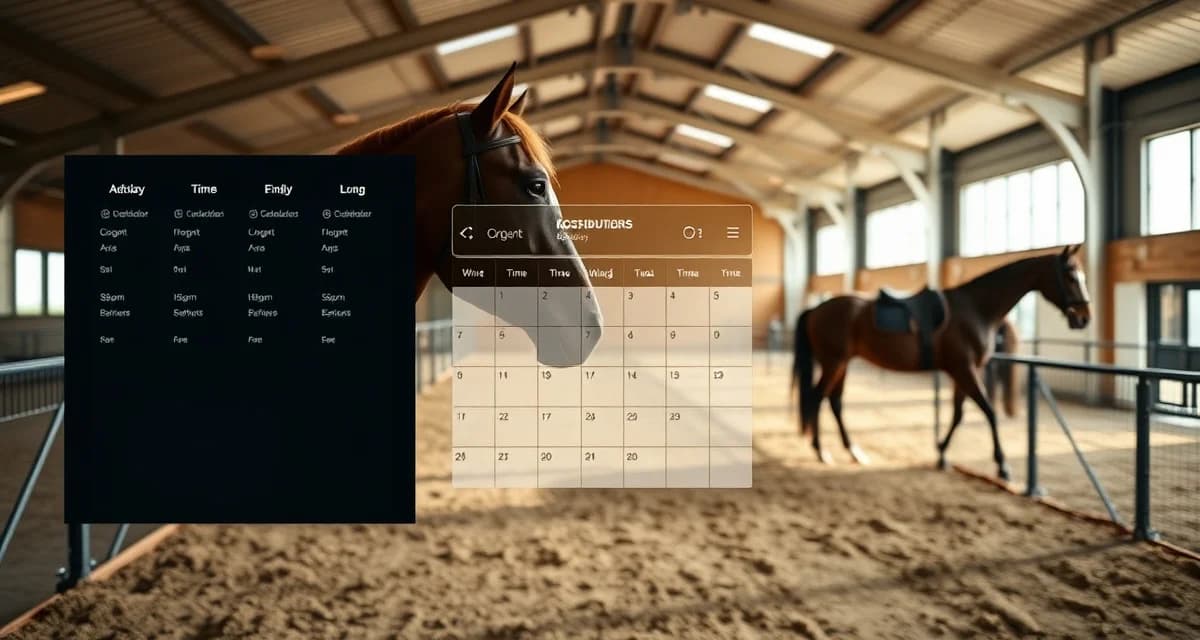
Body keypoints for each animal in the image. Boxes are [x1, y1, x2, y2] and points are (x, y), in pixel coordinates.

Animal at [792, 245, 1092, 480]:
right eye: (1071, 276)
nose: (1084, 318)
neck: (976, 308)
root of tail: (816, 309)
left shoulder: (962, 371)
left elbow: (958, 414)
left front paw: (941, 454)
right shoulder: (965, 369)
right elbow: (989, 411)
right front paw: (1002, 465)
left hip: (841, 363)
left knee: (834, 403)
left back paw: (853, 451)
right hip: (833, 362)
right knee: (818, 398)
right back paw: (822, 452)